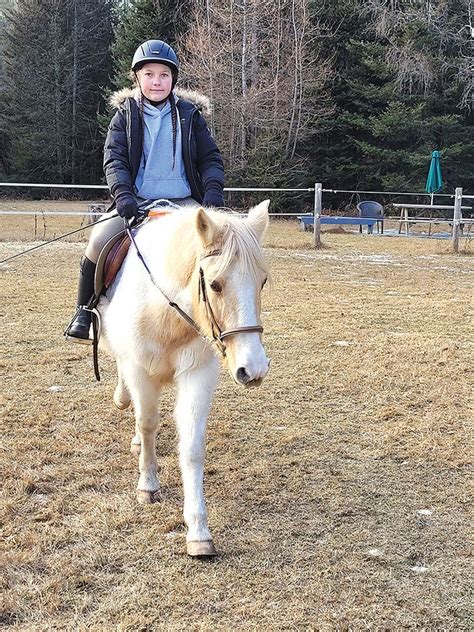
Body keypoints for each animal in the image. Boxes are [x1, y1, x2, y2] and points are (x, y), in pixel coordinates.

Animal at [98, 200, 270, 556]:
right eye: (215, 284)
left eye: (261, 282)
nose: (254, 369)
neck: (165, 312)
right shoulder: (138, 369)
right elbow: (147, 423)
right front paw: (148, 486)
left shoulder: (197, 374)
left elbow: (191, 448)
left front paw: (199, 531)